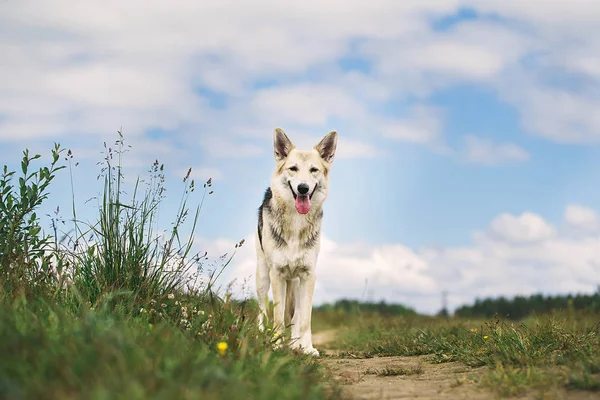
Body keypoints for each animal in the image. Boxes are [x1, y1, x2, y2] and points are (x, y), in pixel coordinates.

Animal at [254, 128, 338, 356]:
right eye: (293, 168)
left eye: (314, 170)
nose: (302, 188)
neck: (296, 222)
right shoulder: (277, 275)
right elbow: (277, 317)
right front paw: (275, 345)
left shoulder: (308, 276)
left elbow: (304, 320)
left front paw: (307, 347)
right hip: (263, 278)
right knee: (262, 311)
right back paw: (262, 337)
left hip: (297, 283)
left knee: (295, 315)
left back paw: (294, 344)